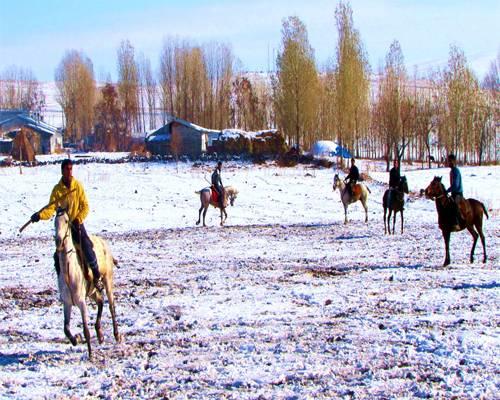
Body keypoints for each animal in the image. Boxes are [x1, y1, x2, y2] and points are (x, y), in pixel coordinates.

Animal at [54, 208, 120, 358]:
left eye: (66, 221)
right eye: (54, 222)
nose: (59, 240)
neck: (69, 272)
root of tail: (103, 242)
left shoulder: (81, 302)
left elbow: (85, 330)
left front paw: (90, 354)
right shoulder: (67, 303)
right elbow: (66, 328)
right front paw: (75, 340)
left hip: (108, 280)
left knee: (111, 306)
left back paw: (116, 335)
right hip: (92, 291)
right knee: (100, 301)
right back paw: (100, 334)